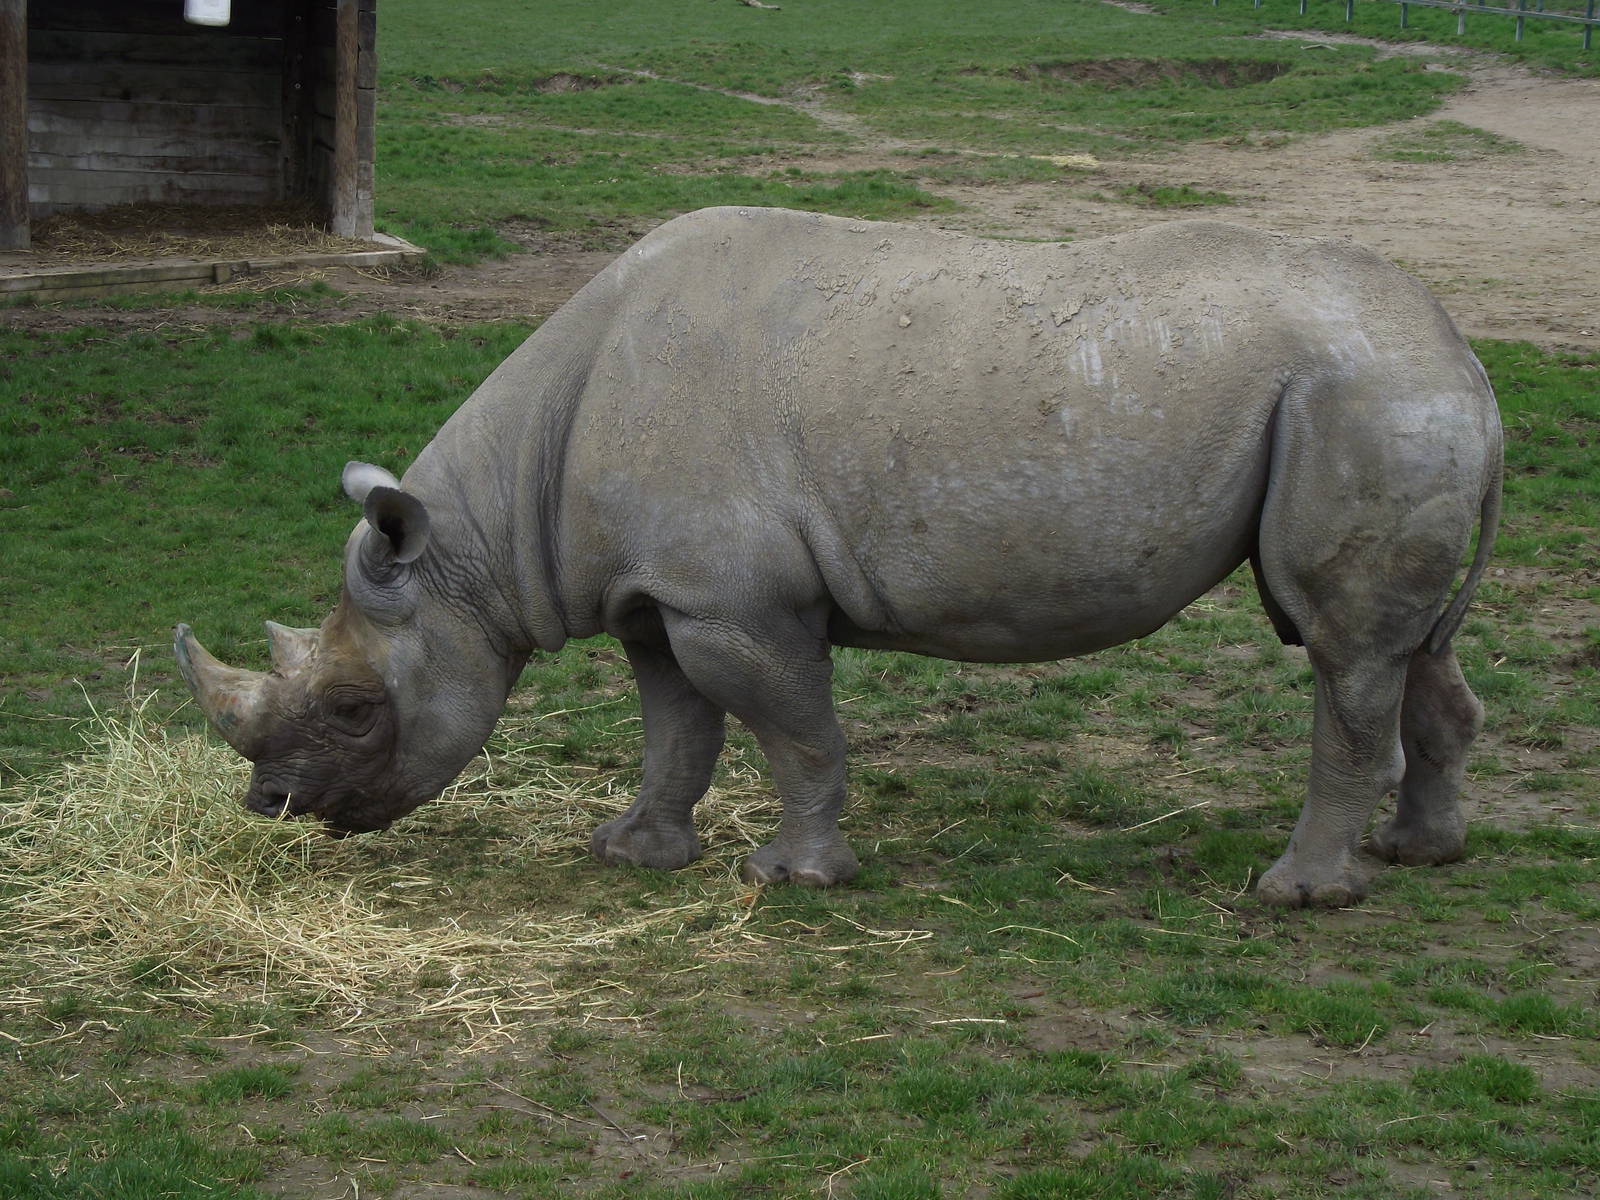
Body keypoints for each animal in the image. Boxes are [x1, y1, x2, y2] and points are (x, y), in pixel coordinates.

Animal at [175, 207, 1502, 908]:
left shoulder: (734, 606)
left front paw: (793, 877)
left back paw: (1297, 893)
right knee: (1403, 648)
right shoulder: (659, 598)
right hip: (1386, 398)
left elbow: (793, 732)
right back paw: (1420, 854)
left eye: (354, 708)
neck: (481, 540)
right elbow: (677, 731)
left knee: (1340, 648)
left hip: (1365, 397)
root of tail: (1466, 356)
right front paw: (632, 853)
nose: (272, 806)